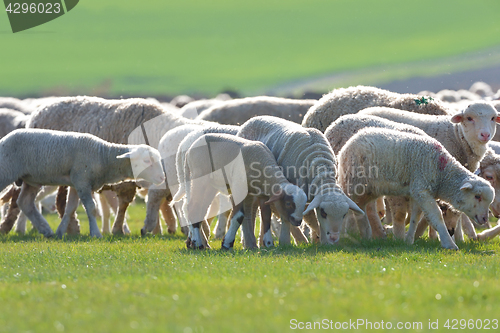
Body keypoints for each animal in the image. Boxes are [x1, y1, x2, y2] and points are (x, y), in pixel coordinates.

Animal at [0, 128, 164, 237]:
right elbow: (91, 208)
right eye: (146, 161)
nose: (162, 178)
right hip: (6, 170)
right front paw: (96, 233)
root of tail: (4, 138)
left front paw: (60, 232)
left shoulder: (78, 183)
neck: (102, 156)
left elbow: (70, 208)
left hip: (32, 180)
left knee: (25, 202)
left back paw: (46, 230)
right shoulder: (82, 182)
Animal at [170, 132, 306, 249]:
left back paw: (196, 243)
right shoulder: (238, 188)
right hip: (200, 179)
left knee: (199, 209)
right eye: (288, 203)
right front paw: (227, 243)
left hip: (210, 185)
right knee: (193, 208)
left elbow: (266, 216)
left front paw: (268, 244)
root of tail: (189, 150)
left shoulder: (263, 194)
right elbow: (238, 216)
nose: (298, 221)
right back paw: (198, 243)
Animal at [236, 115, 362, 244]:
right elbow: (306, 219)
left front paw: (324, 242)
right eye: (324, 213)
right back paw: (248, 243)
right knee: (251, 210)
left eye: (344, 215)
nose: (334, 238)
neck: (319, 162)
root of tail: (253, 118)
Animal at [338, 128, 494, 248]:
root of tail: (347, 145)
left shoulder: (416, 191)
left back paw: (366, 235)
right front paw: (449, 244)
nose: (484, 219)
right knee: (350, 204)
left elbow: (415, 216)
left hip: (370, 188)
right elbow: (436, 215)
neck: (443, 174)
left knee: (361, 207)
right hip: (354, 182)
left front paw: (409, 240)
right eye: (477, 196)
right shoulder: (422, 189)